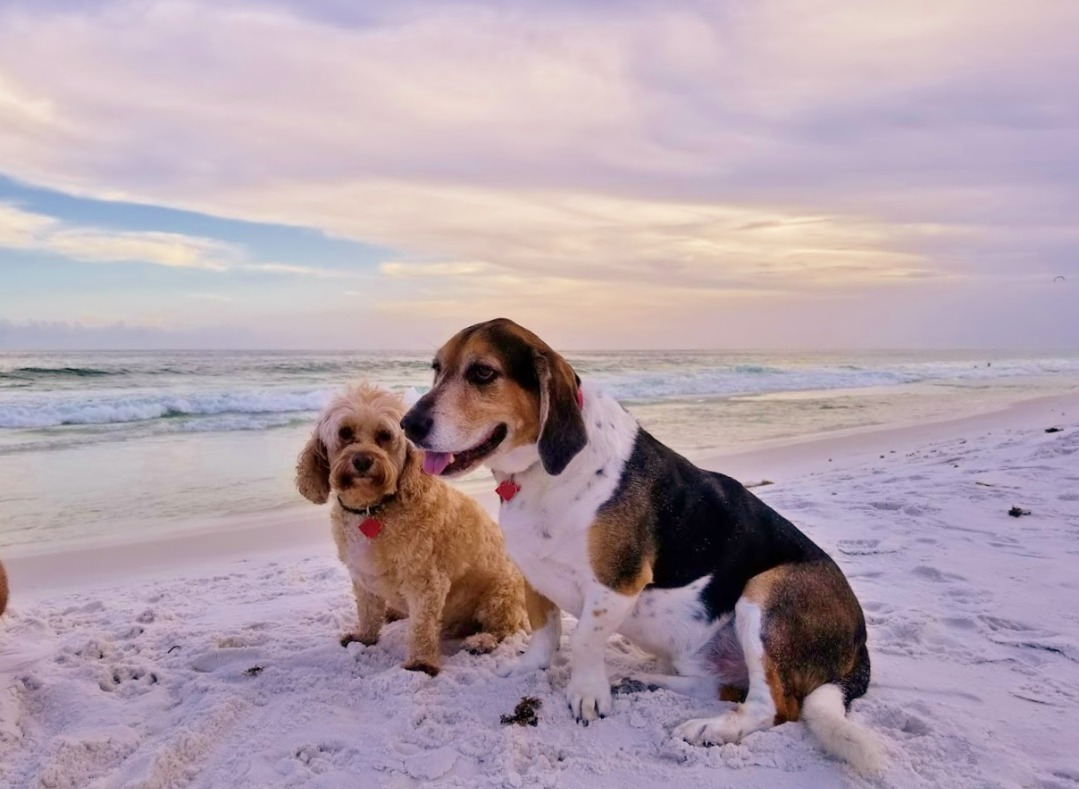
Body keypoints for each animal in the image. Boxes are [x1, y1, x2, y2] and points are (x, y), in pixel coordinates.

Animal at [296, 382, 527, 676]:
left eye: (384, 435)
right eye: (345, 433)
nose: (362, 460)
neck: (374, 507)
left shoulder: (426, 581)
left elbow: (421, 626)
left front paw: (420, 663)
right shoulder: (363, 575)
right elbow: (367, 611)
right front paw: (365, 636)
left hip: (500, 593)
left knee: (504, 627)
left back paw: (483, 640)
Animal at [401, 319, 880, 773]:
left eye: (483, 372)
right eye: (436, 369)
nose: (408, 425)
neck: (540, 473)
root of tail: (861, 649)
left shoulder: (616, 585)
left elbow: (584, 640)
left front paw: (587, 693)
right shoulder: (532, 572)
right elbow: (545, 631)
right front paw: (529, 667)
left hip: (766, 592)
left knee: (774, 707)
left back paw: (711, 728)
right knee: (719, 686)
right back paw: (643, 683)